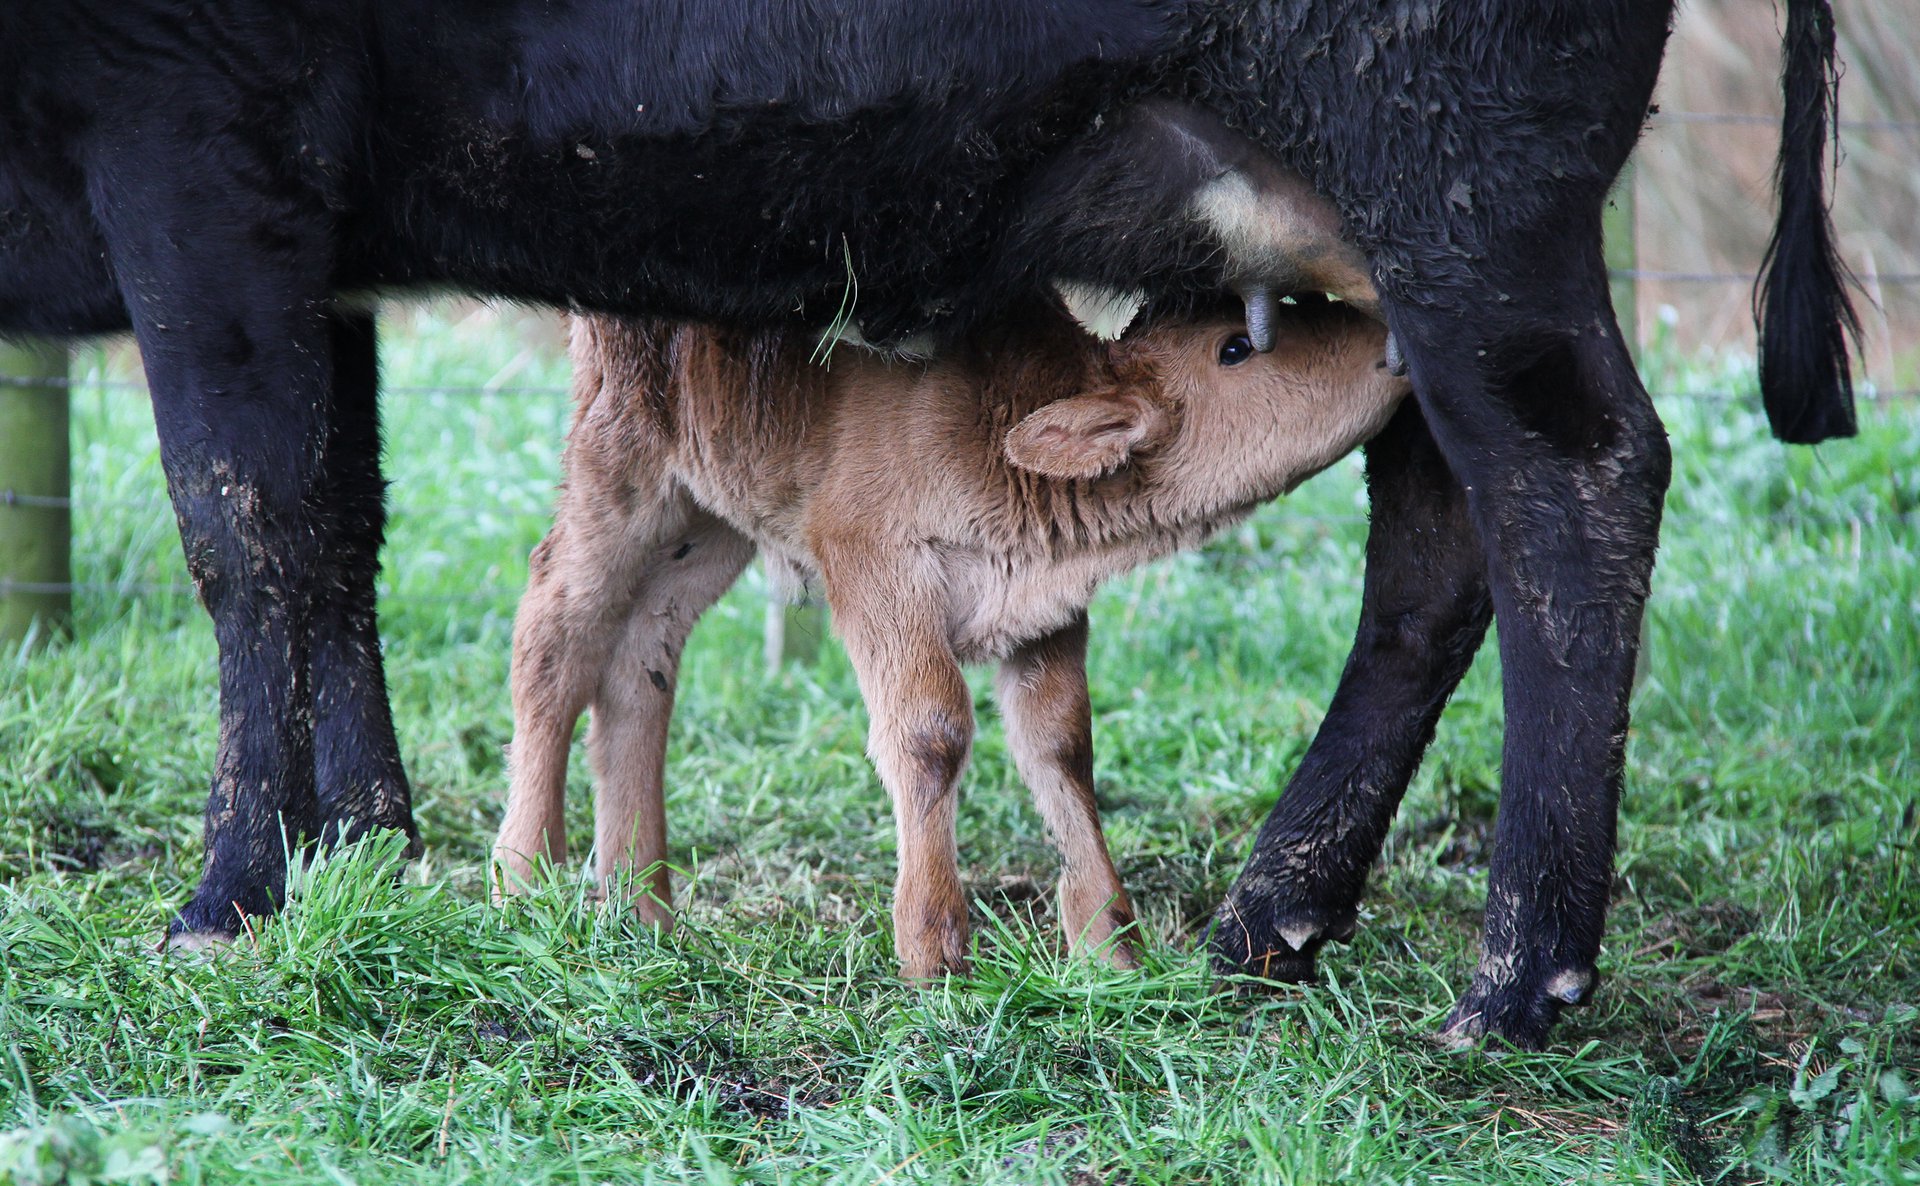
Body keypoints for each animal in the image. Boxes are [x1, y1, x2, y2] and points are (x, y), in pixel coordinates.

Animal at [0, 0, 1855, 1047]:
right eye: (1228, 343)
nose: (1359, 346)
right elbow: (305, 528)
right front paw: (331, 862)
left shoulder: (206, 151)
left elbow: (256, 526)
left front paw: (236, 890)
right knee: (569, 629)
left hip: (1462, 203)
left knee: (1562, 485)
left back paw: (1504, 977)